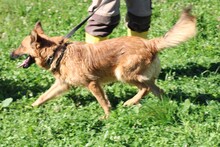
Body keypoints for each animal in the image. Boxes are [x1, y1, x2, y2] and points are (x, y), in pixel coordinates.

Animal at [10, 7, 196, 118]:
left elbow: (103, 102)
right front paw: (30, 107)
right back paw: (165, 105)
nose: (10, 54)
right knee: (157, 90)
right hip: (139, 77)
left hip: (123, 74)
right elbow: (43, 96)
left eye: (21, 46)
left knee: (145, 88)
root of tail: (150, 43)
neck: (58, 52)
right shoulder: (62, 85)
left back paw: (130, 102)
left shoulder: (93, 84)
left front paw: (107, 117)